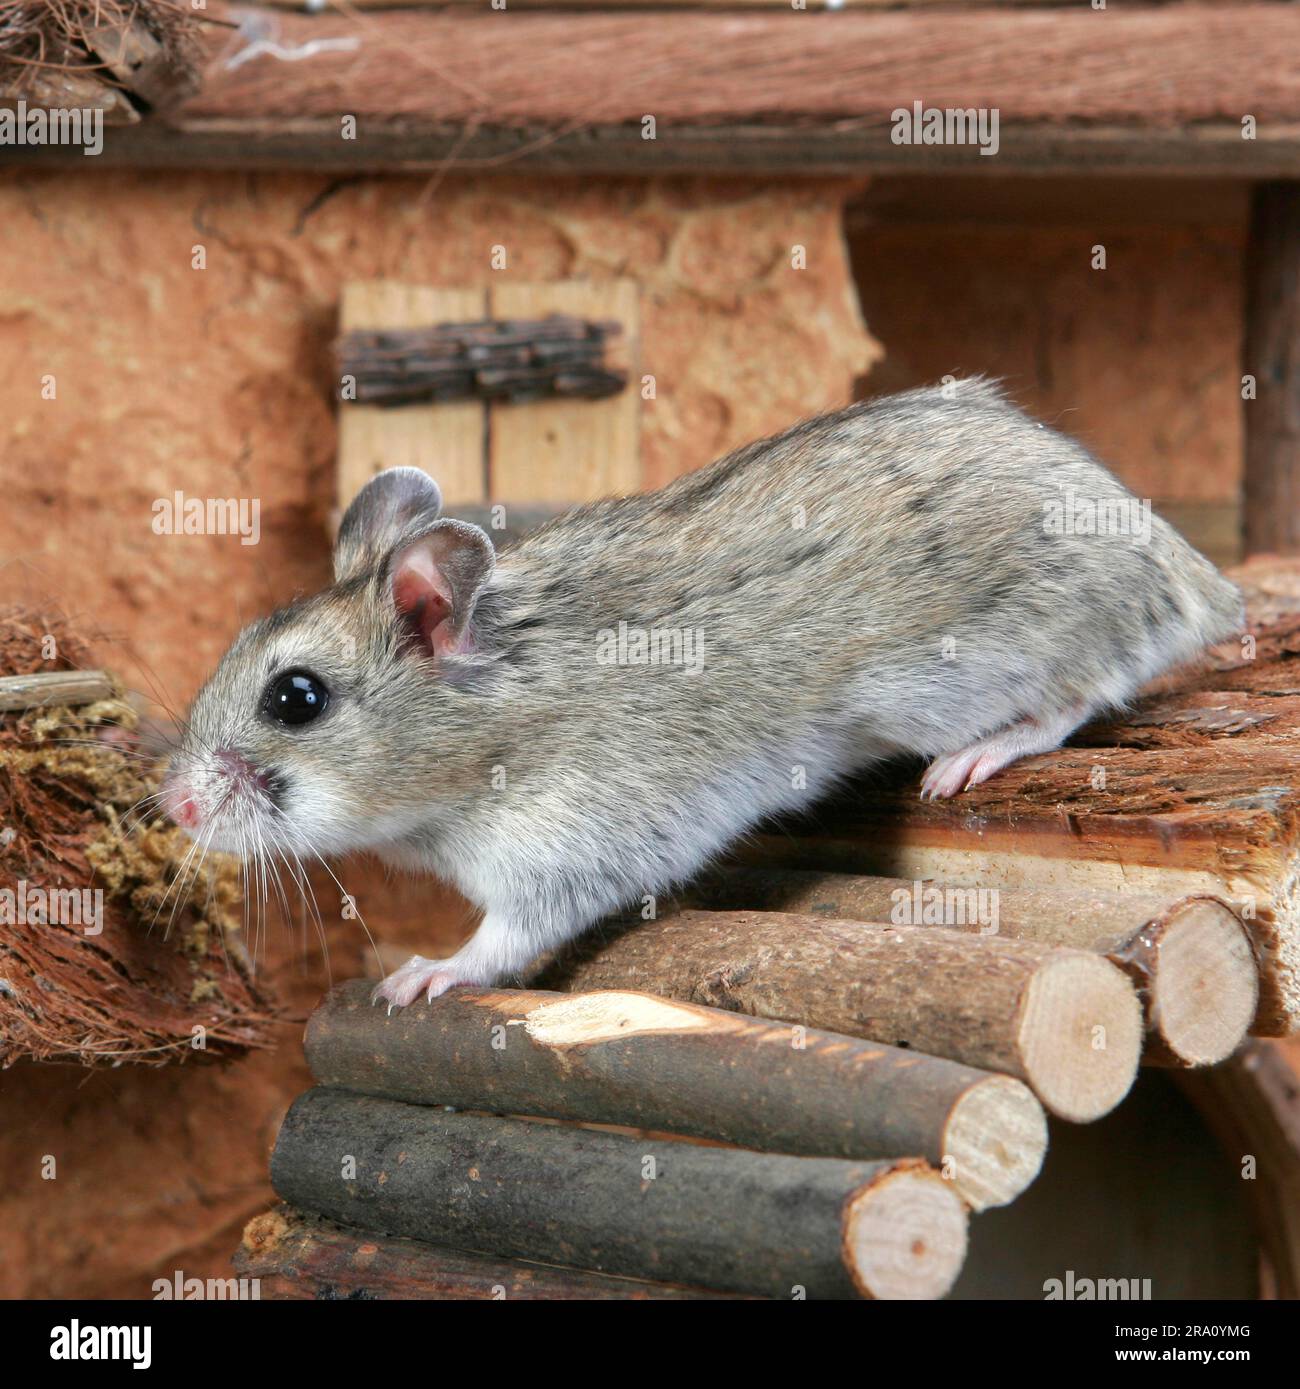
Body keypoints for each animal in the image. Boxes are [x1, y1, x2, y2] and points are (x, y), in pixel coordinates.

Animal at [161, 378, 1243, 1007]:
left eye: (296, 698)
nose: (171, 807)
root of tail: (1196, 572)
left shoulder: (567, 853)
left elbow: (498, 942)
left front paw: (421, 977)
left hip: (986, 663)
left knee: (1079, 690)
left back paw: (972, 759)